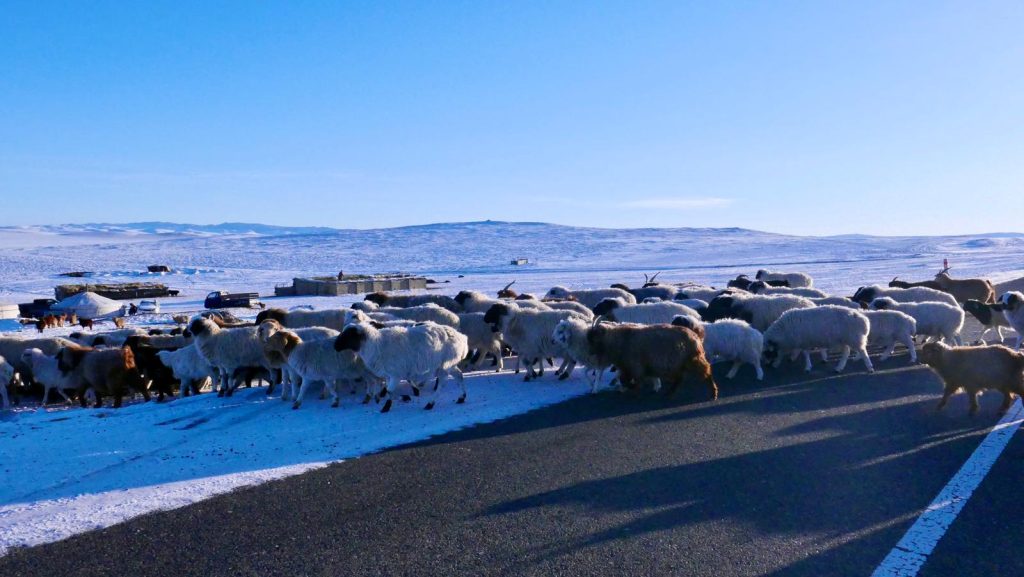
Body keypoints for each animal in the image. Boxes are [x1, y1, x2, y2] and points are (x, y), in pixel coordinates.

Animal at [334, 321, 469, 413]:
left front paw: (386, 407)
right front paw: (405, 397)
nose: (335, 346)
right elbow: (387, 390)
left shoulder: (395, 374)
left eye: (348, 335)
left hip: (444, 365)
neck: (376, 345)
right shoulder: (389, 375)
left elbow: (389, 391)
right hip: (451, 364)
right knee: (459, 376)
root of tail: (462, 338)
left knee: (441, 384)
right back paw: (461, 397)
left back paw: (430, 403)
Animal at [586, 322, 717, 399]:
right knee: (680, 379)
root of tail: (696, 335)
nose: (590, 352)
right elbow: (624, 379)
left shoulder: (635, 366)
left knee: (707, 373)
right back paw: (670, 392)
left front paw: (633, 387)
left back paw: (713, 392)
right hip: (679, 363)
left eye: (593, 338)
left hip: (693, 359)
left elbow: (631, 381)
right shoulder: (629, 366)